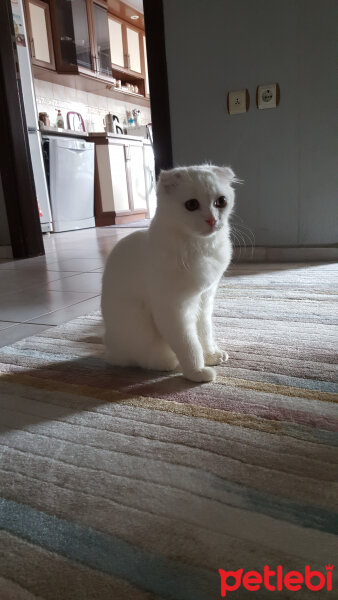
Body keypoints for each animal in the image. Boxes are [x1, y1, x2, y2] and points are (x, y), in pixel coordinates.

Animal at [101, 164, 236, 382]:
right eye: (192, 205)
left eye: (220, 201)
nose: (212, 220)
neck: (200, 248)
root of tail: (110, 350)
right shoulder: (174, 309)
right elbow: (189, 345)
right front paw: (197, 372)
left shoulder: (204, 299)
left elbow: (205, 334)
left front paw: (211, 355)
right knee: (144, 360)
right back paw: (168, 363)